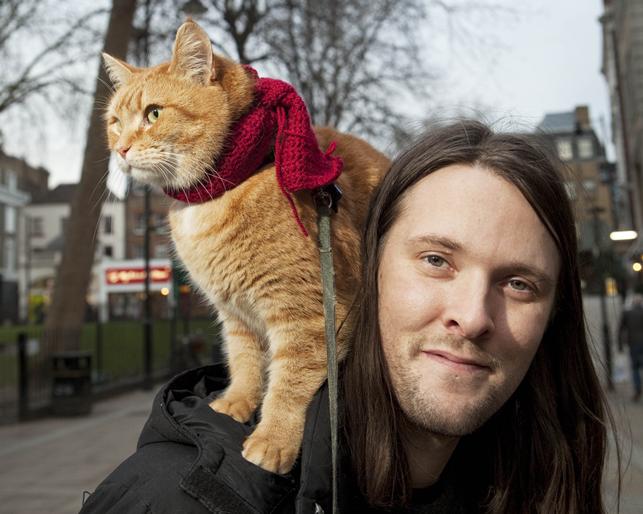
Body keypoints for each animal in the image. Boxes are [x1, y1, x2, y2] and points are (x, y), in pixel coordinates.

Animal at [103, 20, 390, 472]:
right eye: (115, 121)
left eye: (154, 113)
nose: (121, 149)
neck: (220, 187)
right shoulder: (235, 313)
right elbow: (245, 363)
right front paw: (236, 403)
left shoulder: (308, 315)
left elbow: (288, 384)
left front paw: (272, 441)